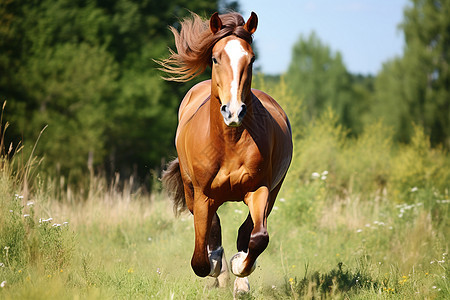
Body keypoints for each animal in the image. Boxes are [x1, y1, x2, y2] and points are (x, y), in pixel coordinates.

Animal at [160, 11, 294, 296]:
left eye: (251, 59)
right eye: (215, 58)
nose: (233, 111)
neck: (228, 143)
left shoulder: (259, 189)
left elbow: (257, 237)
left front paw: (239, 268)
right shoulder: (203, 195)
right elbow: (200, 258)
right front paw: (216, 265)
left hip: (273, 192)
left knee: (247, 230)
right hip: (191, 191)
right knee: (212, 226)